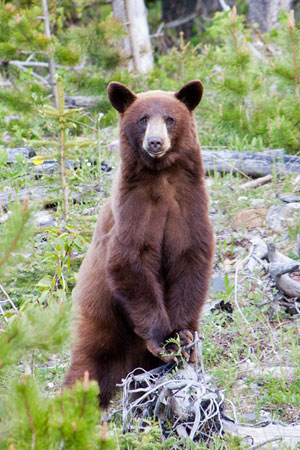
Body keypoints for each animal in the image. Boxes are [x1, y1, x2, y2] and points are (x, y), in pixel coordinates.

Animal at [64, 80, 216, 408]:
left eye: (170, 118)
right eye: (142, 119)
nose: (156, 142)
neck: (162, 180)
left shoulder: (189, 207)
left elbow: (191, 259)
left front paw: (185, 337)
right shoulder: (133, 210)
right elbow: (129, 261)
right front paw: (165, 340)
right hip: (100, 322)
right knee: (86, 372)